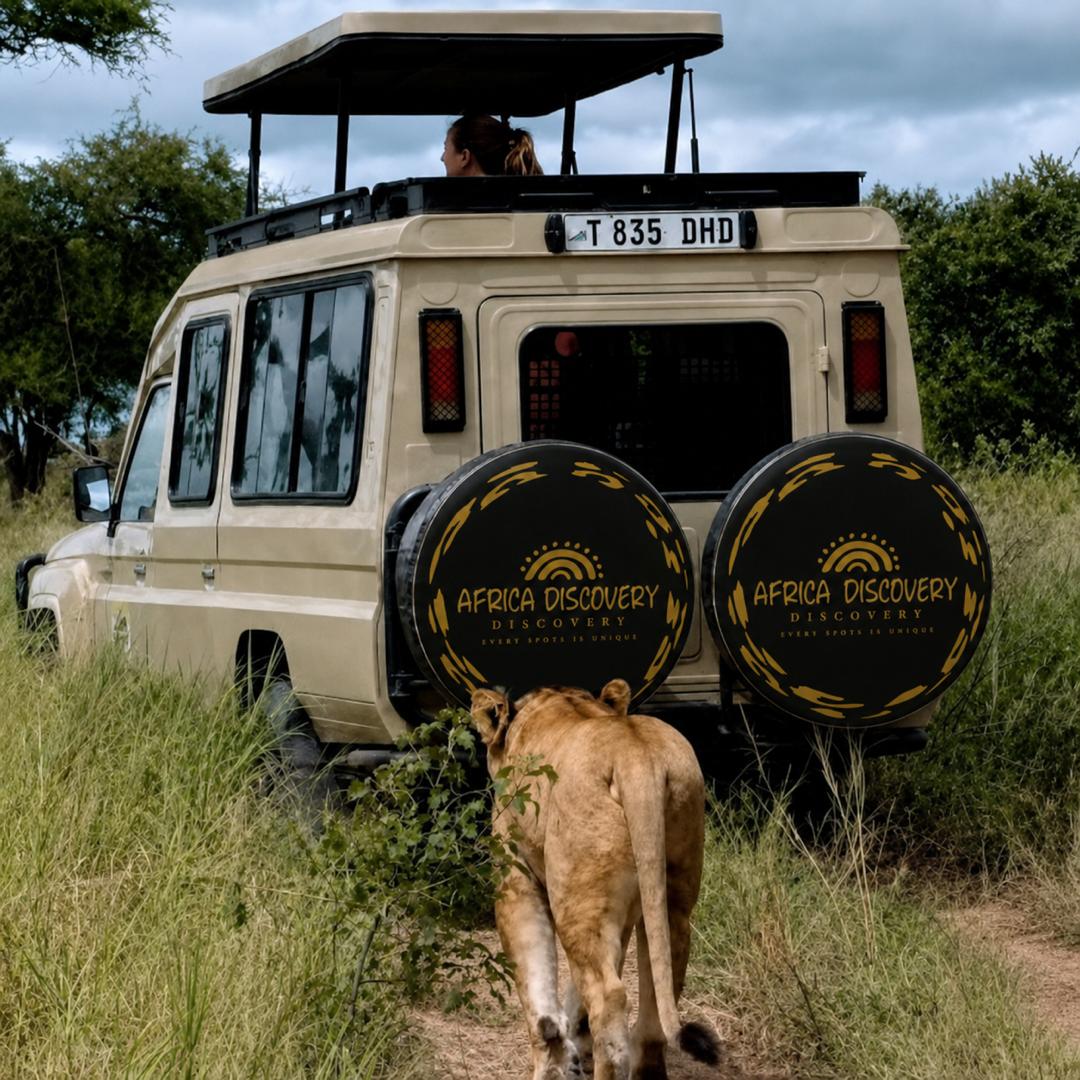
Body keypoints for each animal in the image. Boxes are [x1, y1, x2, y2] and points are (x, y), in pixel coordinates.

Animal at [470, 679, 722, 1080]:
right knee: (658, 981)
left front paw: (553, 1065)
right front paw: (576, 1047)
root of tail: (636, 757)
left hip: (575, 899)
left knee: (609, 997)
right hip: (668, 890)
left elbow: (538, 990)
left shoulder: (516, 878)